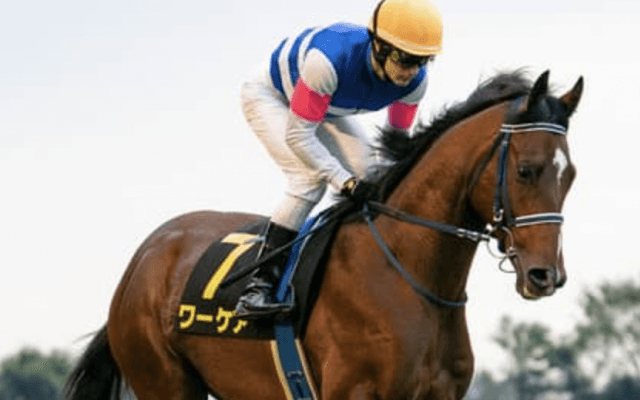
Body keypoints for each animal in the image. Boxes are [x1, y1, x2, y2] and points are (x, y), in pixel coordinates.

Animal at [64, 70, 583, 400]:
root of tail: (147, 255)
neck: (410, 274)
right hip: (164, 381)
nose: (545, 276)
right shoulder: (352, 391)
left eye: (571, 174)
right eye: (527, 170)